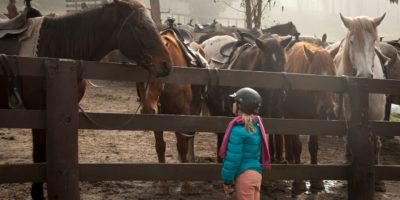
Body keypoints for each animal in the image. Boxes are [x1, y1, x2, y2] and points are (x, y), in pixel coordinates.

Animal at [0, 0, 170, 199]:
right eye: (141, 26)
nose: (166, 64)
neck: (54, 50)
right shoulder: (38, 112)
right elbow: (40, 155)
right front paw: (37, 194)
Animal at [137, 30, 206, 195]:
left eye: (159, 74)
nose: (147, 110)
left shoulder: (182, 115)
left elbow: (182, 145)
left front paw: (186, 183)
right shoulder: (158, 118)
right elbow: (160, 147)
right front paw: (163, 184)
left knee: (190, 138)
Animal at [282, 41, 336, 194]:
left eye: (333, 74)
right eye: (315, 74)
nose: (327, 109)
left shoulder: (316, 119)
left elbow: (313, 147)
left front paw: (316, 181)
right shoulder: (293, 118)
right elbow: (297, 146)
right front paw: (298, 182)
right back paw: (289, 158)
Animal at [334, 12, 388, 192]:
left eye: (373, 41)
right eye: (352, 41)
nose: (364, 74)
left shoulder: (378, 118)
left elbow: (377, 144)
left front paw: (378, 182)